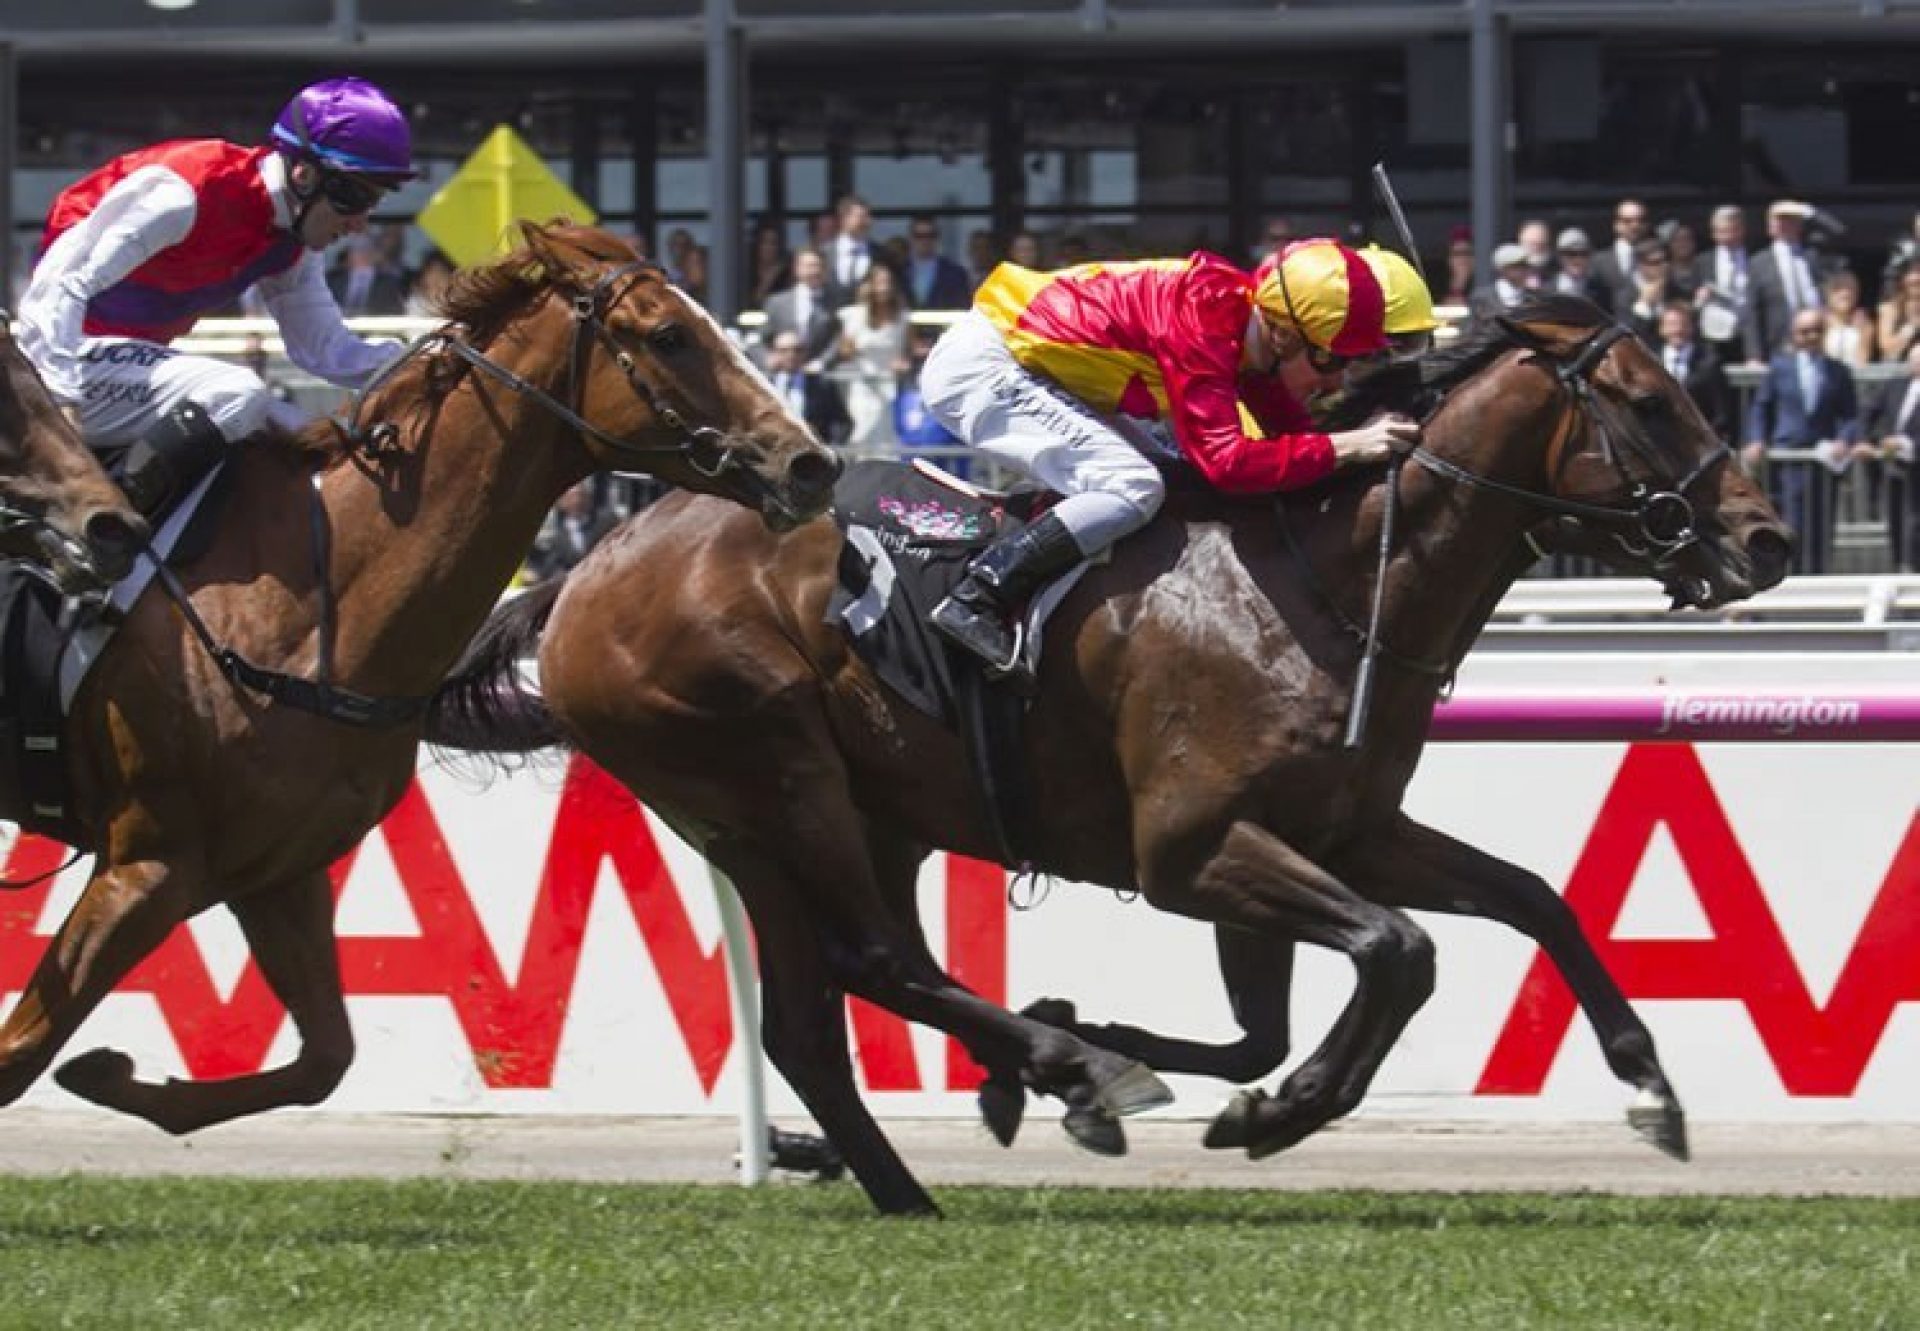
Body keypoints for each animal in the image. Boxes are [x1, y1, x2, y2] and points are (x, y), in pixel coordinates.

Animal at [435, 295, 1797, 1206]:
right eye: (1647, 400)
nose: (1768, 537)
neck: (1332, 585)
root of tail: (582, 569)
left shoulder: (1344, 830)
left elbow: (1524, 900)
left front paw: (1650, 1086)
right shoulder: (1191, 849)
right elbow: (1396, 954)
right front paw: (1272, 1111)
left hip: (862, 812)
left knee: (823, 1020)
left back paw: (932, 1162)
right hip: (766, 781)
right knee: (873, 962)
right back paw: (1065, 1074)